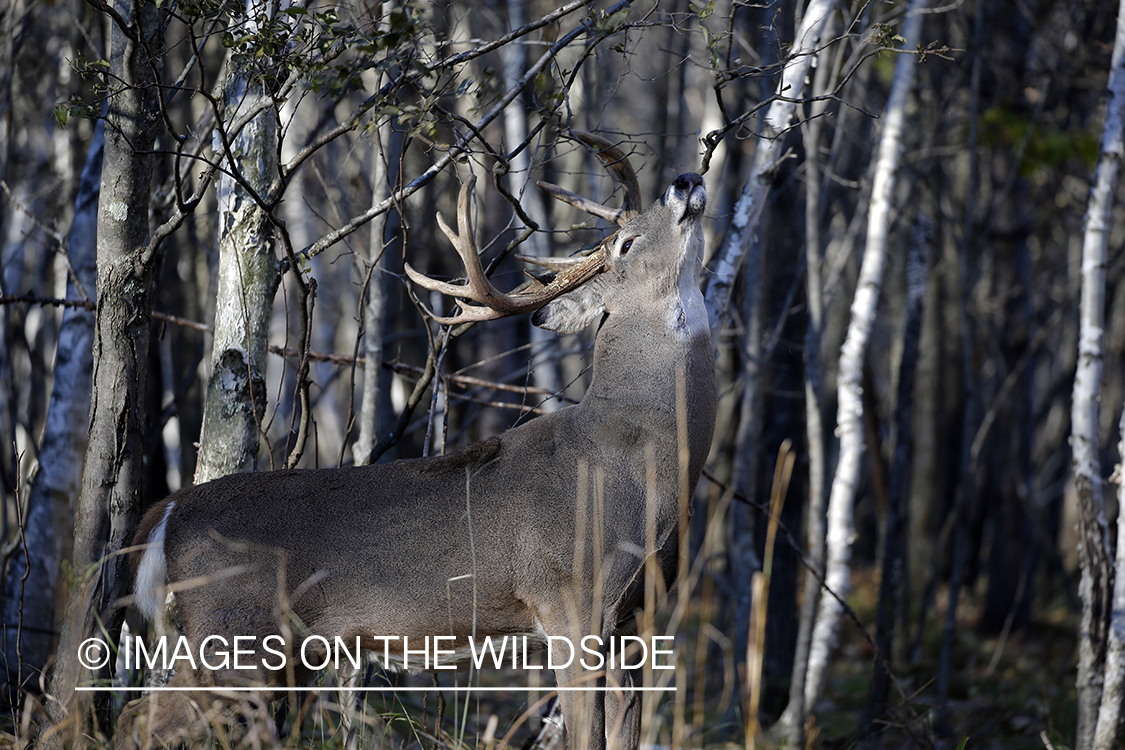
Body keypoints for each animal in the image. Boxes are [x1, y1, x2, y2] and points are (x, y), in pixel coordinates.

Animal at [111, 132, 711, 750]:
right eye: (626, 244)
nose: (686, 179)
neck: (635, 460)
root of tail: (167, 512)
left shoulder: (634, 620)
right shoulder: (570, 601)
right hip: (234, 637)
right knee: (137, 718)